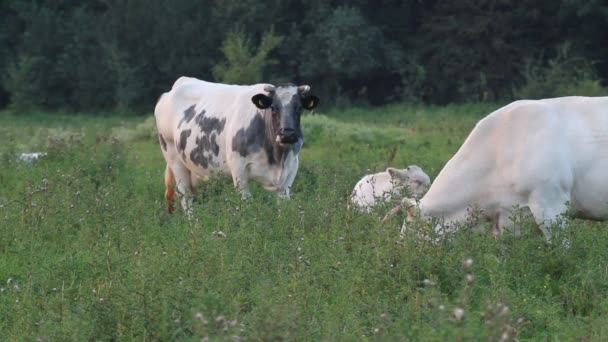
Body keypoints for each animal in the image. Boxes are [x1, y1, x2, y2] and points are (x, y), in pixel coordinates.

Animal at [154, 77, 318, 214]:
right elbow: (248, 207)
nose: (287, 134)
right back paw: (193, 226)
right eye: (273, 108)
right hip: (173, 156)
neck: (277, 158)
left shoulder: (290, 171)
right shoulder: (239, 170)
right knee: (185, 194)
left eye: (299, 108)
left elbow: (282, 208)